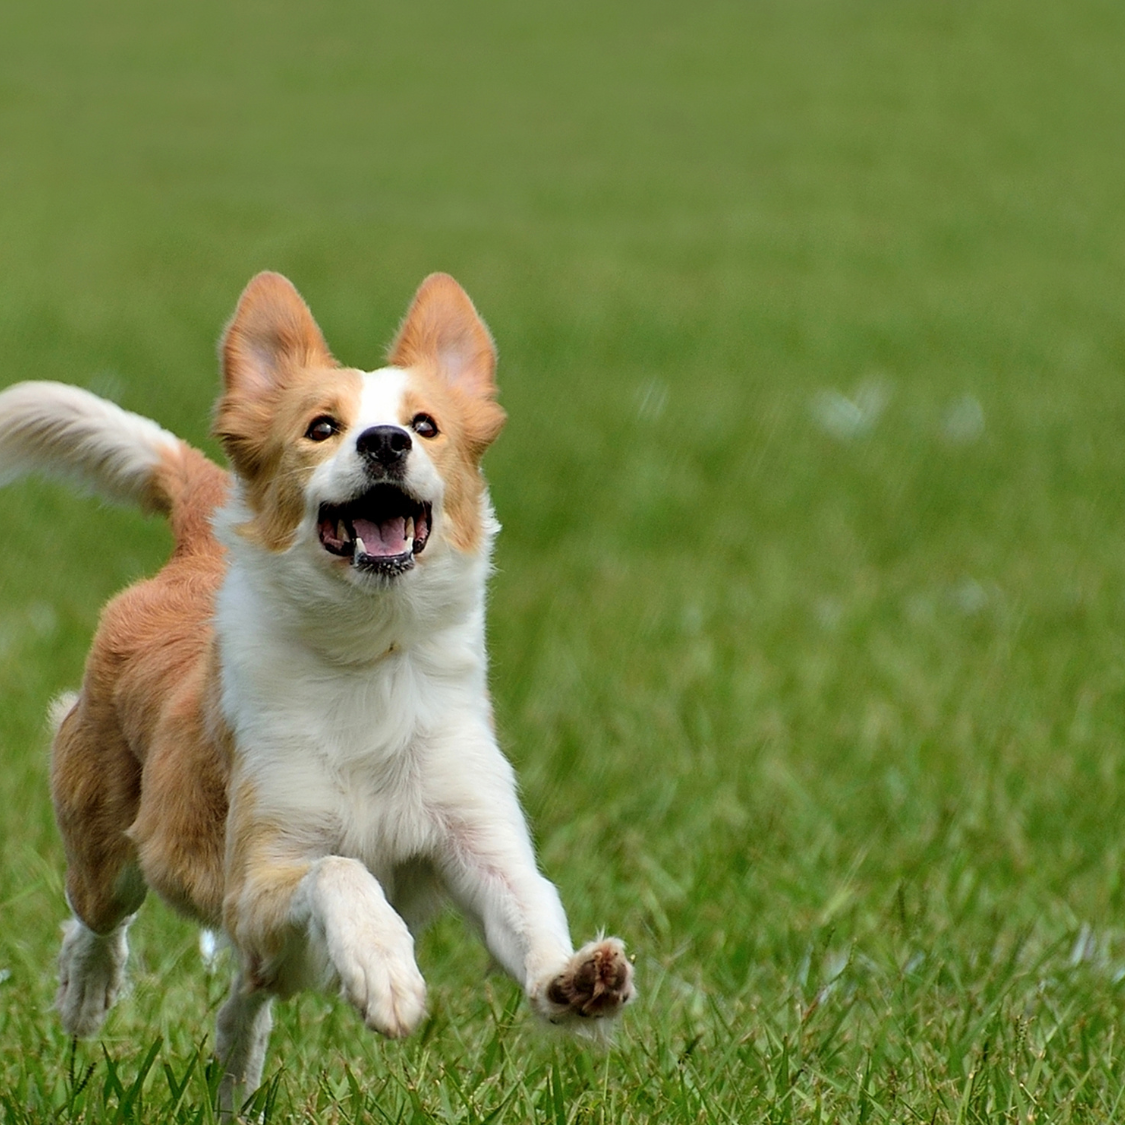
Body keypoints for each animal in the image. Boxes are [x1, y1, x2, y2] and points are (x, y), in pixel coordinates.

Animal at [0, 272, 634, 1107]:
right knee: (98, 914)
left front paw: (574, 983)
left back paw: (235, 1077)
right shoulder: (258, 871)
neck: (367, 659)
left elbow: (530, 904)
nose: (385, 442)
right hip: (107, 832)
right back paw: (87, 991)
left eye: (425, 424)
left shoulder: (475, 834)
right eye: (321, 427)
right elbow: (339, 869)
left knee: (248, 992)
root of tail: (195, 549)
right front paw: (387, 973)